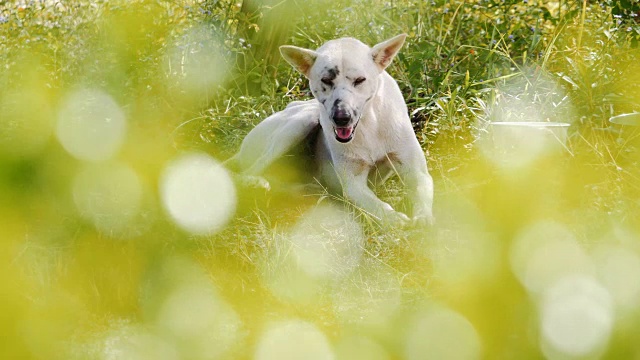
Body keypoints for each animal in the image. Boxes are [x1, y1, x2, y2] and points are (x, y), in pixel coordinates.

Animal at [226, 33, 436, 225]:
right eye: (326, 80)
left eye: (360, 80)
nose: (341, 117)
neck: (369, 125)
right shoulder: (353, 185)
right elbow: (379, 207)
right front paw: (396, 220)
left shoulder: (417, 172)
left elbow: (422, 198)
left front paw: (425, 223)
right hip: (300, 122)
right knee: (244, 172)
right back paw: (254, 182)